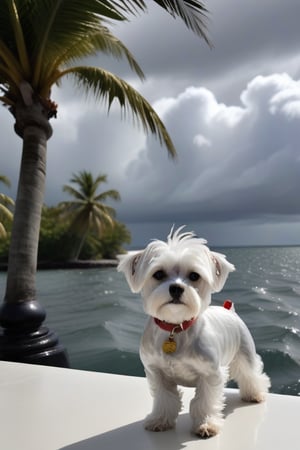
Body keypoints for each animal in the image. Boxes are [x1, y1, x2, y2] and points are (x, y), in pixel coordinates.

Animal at [116, 227, 270, 438]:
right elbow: (165, 398)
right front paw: (160, 420)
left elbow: (204, 401)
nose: (176, 288)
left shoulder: (210, 374)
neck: (176, 327)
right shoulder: (156, 372)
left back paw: (255, 394)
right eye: (159, 274)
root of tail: (229, 309)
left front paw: (206, 424)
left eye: (194, 276)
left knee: (251, 374)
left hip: (245, 353)